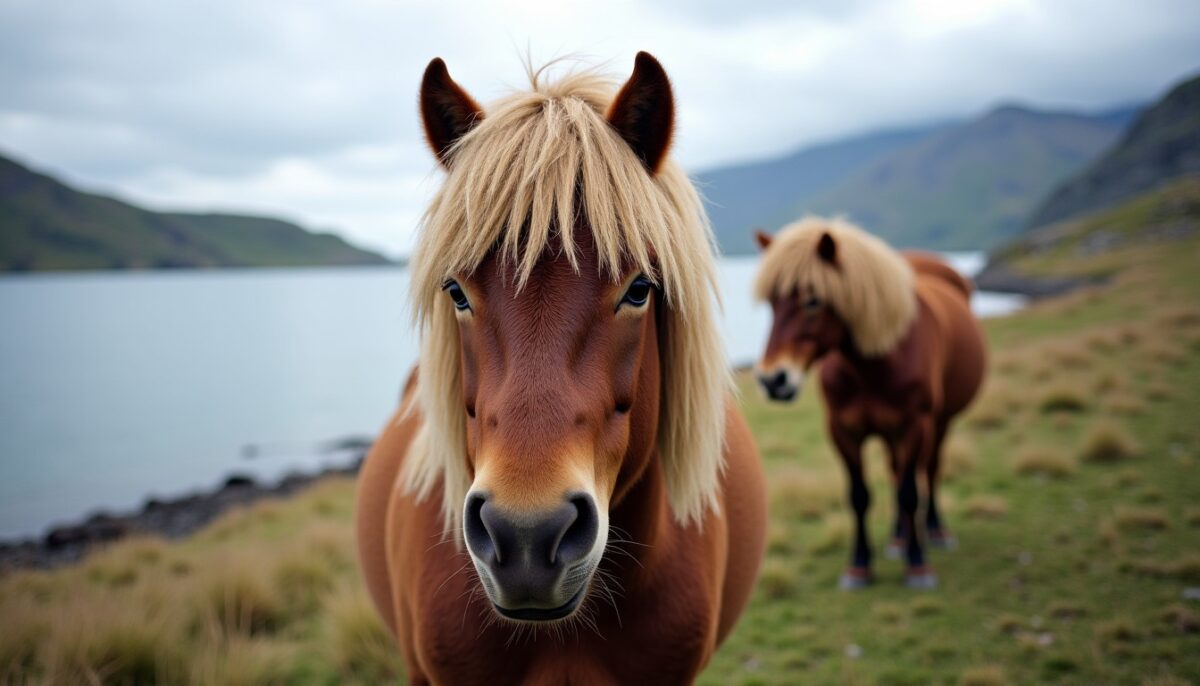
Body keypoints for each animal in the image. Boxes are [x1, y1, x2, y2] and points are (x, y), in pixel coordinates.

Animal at [752, 218, 985, 589]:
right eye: (773, 301)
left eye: (813, 301)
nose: (773, 380)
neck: (874, 366)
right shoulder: (843, 431)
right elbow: (859, 495)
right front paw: (859, 565)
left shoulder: (913, 427)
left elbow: (909, 492)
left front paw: (917, 565)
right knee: (895, 472)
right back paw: (898, 536)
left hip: (939, 423)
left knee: (929, 470)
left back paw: (934, 531)